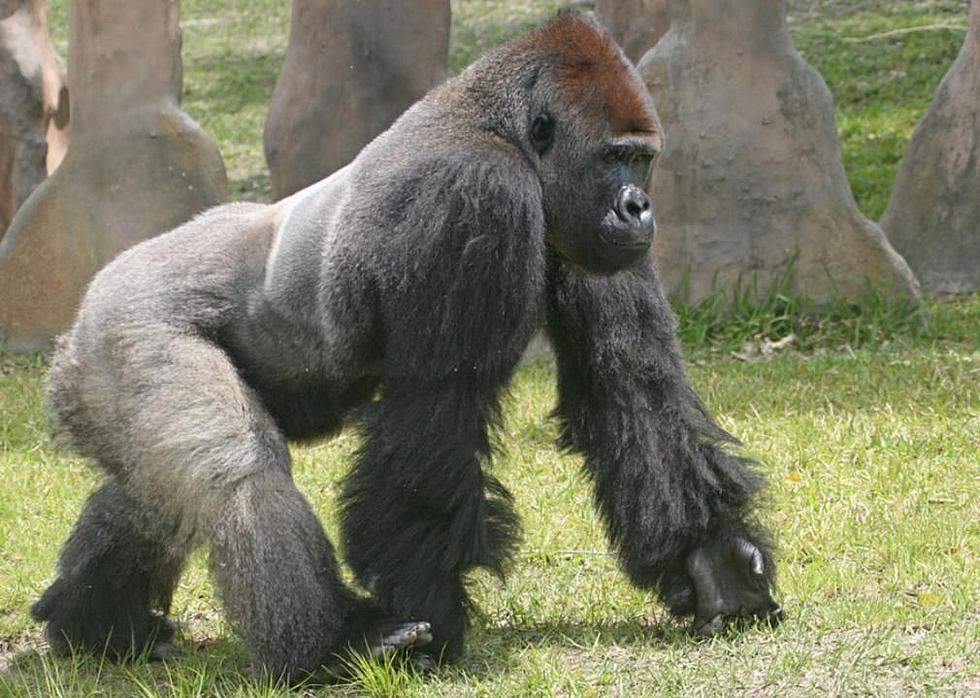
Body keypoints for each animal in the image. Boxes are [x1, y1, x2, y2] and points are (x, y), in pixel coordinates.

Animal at [28, 12, 780, 680]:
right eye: (612, 157)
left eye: (641, 159)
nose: (638, 208)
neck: (502, 127)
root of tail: (73, 327)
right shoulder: (476, 196)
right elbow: (433, 417)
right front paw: (435, 613)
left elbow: (630, 387)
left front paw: (709, 560)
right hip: (128, 325)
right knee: (235, 471)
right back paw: (326, 644)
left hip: (100, 371)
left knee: (153, 491)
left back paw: (94, 623)